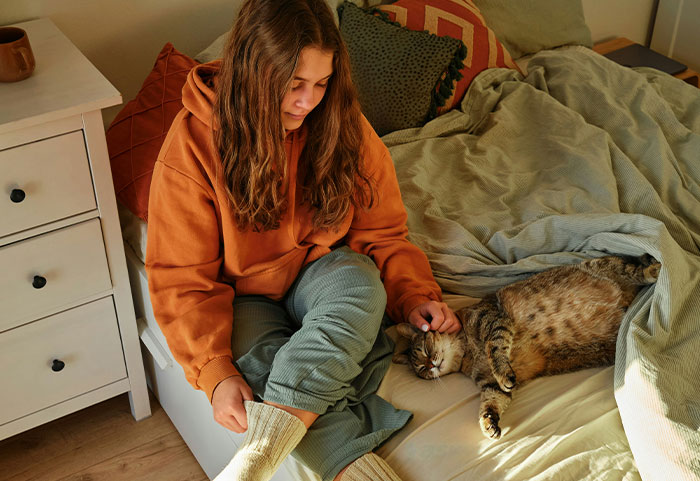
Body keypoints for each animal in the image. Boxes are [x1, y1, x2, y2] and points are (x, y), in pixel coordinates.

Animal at [396, 255, 660, 438]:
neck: (467, 354)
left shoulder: (493, 318)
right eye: (421, 370)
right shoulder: (490, 386)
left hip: (603, 265)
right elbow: (490, 402)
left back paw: (654, 268)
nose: (431, 365)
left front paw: (502, 370)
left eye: (424, 349)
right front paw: (487, 423)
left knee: (634, 268)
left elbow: (495, 348)